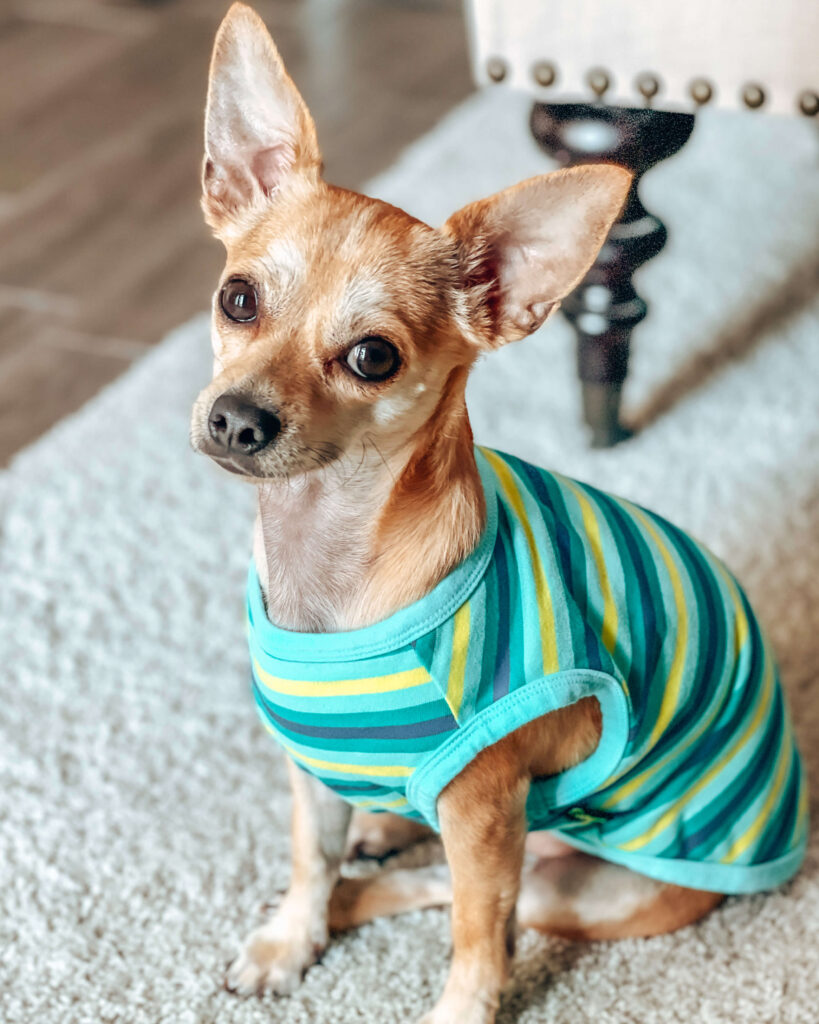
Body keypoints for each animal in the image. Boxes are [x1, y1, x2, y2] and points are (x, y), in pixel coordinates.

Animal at [190, 9, 806, 1024]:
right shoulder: (308, 774)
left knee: (449, 895)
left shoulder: (483, 811)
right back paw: (370, 841)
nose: (237, 419)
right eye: (236, 299)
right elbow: (309, 856)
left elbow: (476, 939)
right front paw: (289, 939)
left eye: (372, 357)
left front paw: (443, 1003)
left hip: (570, 881)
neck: (327, 559)